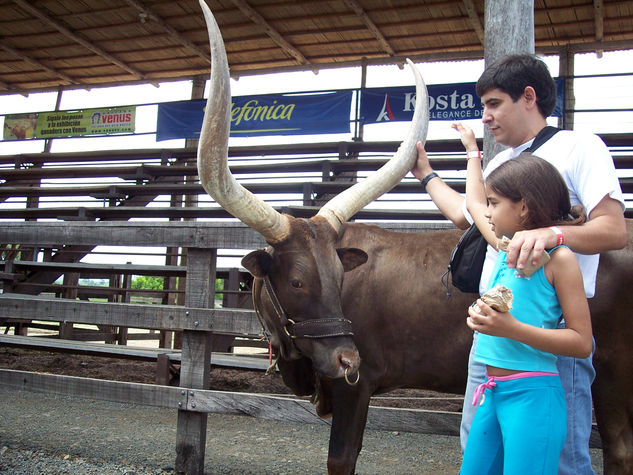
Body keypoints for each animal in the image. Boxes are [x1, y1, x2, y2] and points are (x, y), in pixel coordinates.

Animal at [198, 1, 632, 474]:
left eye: (338, 277)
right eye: (297, 281)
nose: (346, 358)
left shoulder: (356, 386)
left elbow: (341, 458)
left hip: (611, 375)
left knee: (618, 449)